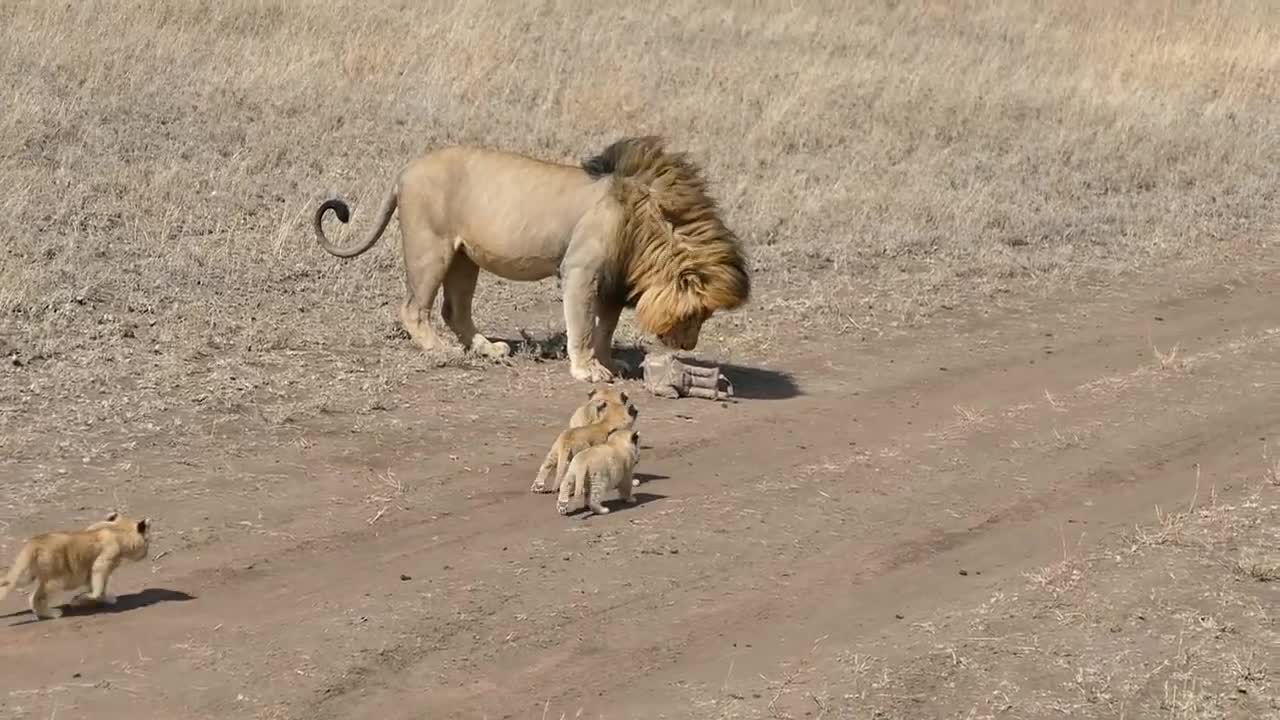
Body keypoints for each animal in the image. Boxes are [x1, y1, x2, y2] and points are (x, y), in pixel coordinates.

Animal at [313, 134, 747, 381]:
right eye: (696, 314)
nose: (688, 347)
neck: (647, 222)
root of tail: (406, 170)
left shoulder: (614, 280)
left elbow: (605, 329)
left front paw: (610, 363)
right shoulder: (581, 270)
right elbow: (582, 327)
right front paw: (587, 370)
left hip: (464, 257)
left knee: (455, 310)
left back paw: (487, 349)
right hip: (430, 247)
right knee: (413, 309)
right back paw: (441, 350)